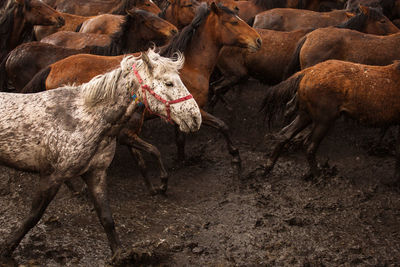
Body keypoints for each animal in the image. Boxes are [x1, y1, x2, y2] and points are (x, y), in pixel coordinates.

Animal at [260, 60, 400, 182]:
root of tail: (308, 71)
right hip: (324, 120)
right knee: (309, 146)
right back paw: (319, 177)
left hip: (306, 115)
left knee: (285, 134)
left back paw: (268, 167)